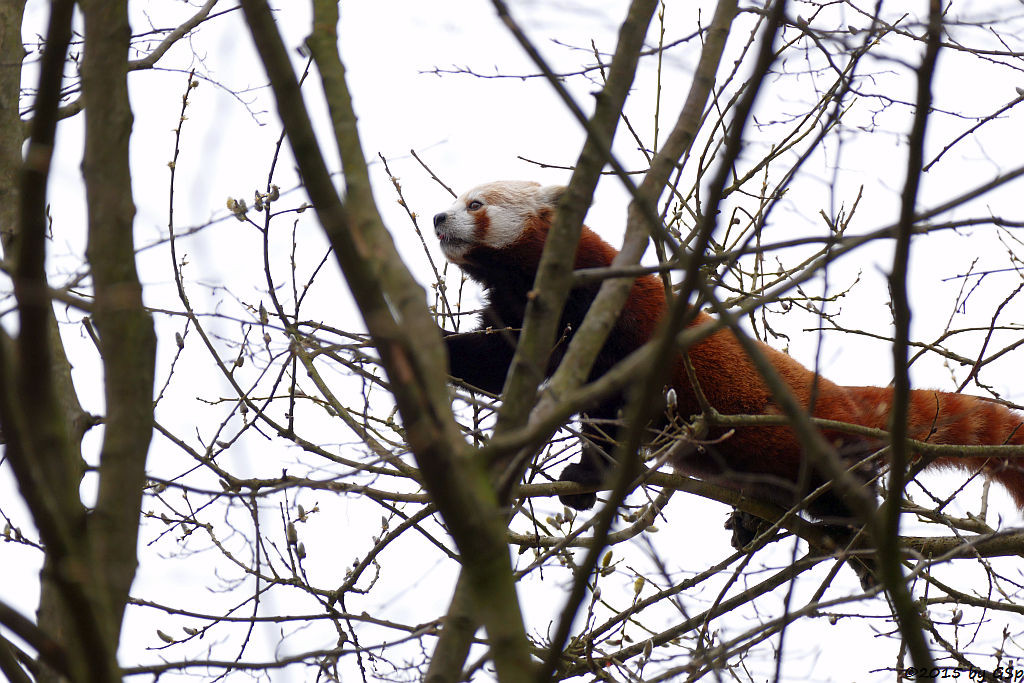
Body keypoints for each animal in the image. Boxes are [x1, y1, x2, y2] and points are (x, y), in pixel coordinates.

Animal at [432, 180, 1024, 524]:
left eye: (475, 204)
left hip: (823, 447)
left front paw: (585, 476)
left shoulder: (618, 324)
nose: (438, 218)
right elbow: (492, 366)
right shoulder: (519, 324)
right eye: (455, 200)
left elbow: (614, 416)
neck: (538, 290)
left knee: (845, 494)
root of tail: (849, 400)